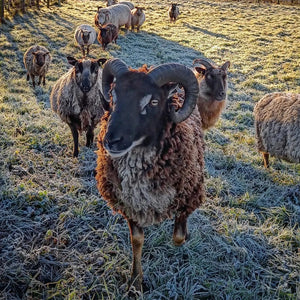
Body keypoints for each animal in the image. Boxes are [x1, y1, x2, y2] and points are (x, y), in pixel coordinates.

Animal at [95, 57, 205, 292]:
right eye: (114, 95)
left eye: (154, 102)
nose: (112, 141)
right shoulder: (130, 204)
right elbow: (136, 240)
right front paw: (136, 282)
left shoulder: (189, 193)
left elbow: (178, 237)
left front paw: (184, 235)